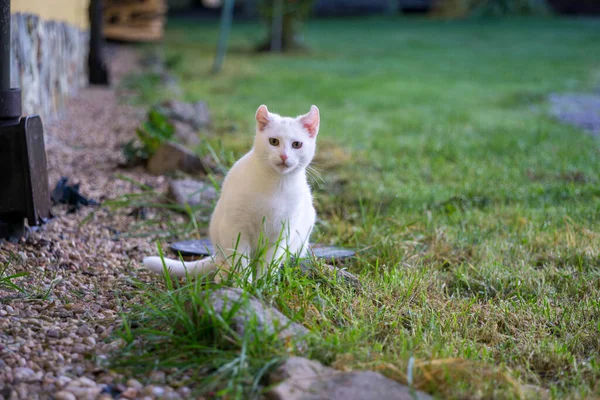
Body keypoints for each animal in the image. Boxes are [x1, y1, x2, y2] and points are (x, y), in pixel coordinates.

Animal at [141, 104, 322, 282]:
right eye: (273, 141)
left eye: (297, 145)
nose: (284, 156)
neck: (276, 184)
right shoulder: (236, 228)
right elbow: (241, 261)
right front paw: (243, 284)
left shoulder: (281, 235)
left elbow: (268, 264)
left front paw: (263, 284)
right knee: (224, 261)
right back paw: (222, 276)